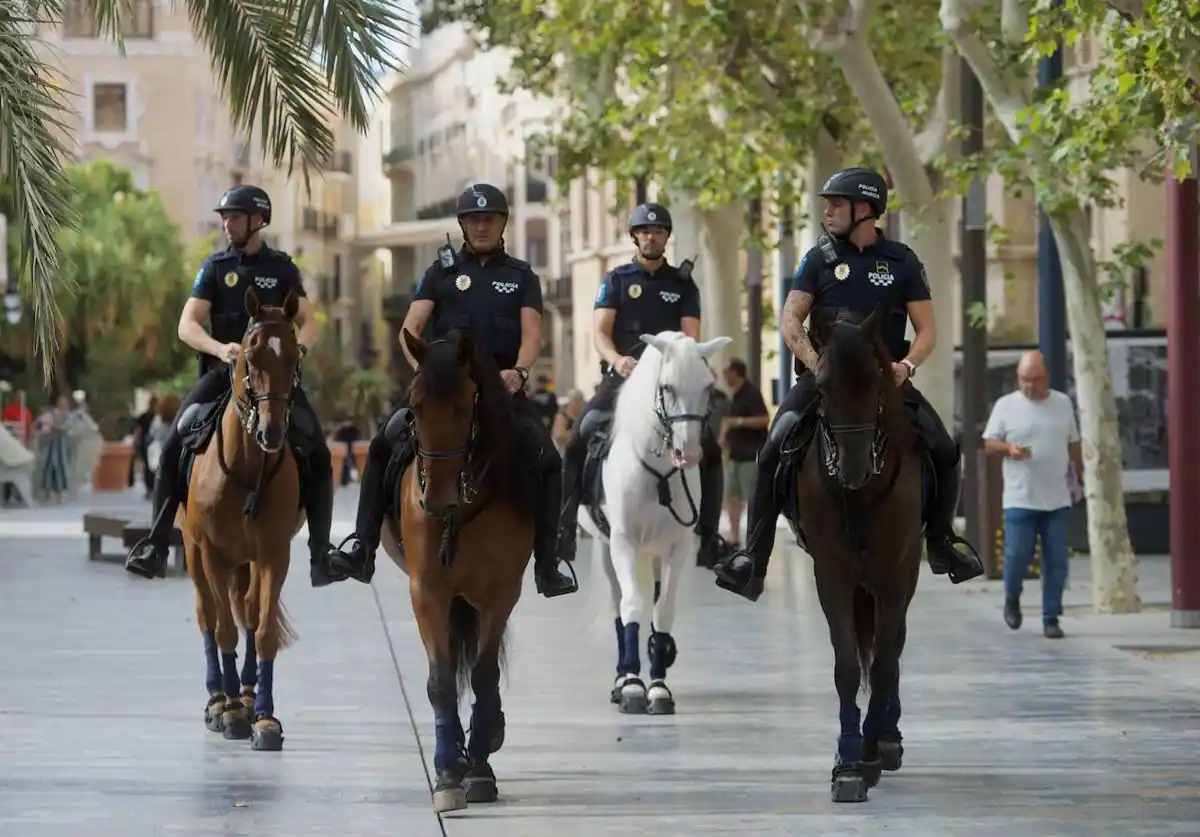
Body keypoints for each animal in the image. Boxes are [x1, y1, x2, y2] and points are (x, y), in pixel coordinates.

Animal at [182, 286, 307, 748]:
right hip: (193, 551)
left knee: (249, 612)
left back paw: (250, 696)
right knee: (208, 614)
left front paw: (265, 717)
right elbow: (224, 630)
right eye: (250, 357)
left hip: (247, 560)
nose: (271, 432)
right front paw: (233, 712)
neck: (247, 466)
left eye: (294, 357)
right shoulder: (213, 554)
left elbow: (263, 628)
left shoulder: (273, 554)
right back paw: (220, 700)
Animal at [381, 326, 542, 810]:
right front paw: (448, 774)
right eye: (414, 407)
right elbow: (441, 680)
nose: (435, 500)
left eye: (465, 405)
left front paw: (480, 768)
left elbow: (486, 674)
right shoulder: (427, 591)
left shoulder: (502, 592)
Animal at [573, 328, 729, 714]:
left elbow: (663, 612)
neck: (658, 473)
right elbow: (631, 606)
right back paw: (621, 681)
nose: (689, 454)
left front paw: (658, 687)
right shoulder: (623, 541)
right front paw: (632, 686)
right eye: (667, 387)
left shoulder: (676, 547)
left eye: (707, 387)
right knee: (618, 607)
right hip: (606, 548)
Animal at [796, 311, 926, 801]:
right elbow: (848, 667)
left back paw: (888, 737)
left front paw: (871, 750)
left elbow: (886, 664)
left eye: (874, 381)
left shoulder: (895, 574)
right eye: (821, 387)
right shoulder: (831, 574)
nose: (852, 469)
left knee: (896, 644)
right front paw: (848, 764)